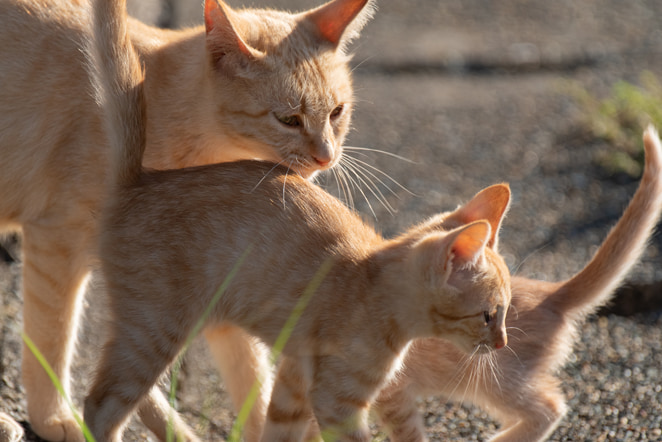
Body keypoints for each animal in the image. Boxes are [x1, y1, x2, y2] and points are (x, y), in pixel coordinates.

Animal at [0, 0, 374, 440]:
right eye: (289, 120)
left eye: (337, 112)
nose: (326, 157)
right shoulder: (58, 242)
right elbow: (53, 338)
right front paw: (56, 417)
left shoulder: (216, 277)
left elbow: (251, 379)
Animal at [84, 0, 512, 438]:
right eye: (489, 314)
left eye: (338, 113)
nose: (502, 343)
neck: (371, 278)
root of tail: (138, 178)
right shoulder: (337, 402)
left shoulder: (295, 382)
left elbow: (278, 428)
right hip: (154, 331)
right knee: (100, 406)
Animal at [374, 126, 662, 440]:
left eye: (493, 314)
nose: (503, 341)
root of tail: (549, 294)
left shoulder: (391, 391)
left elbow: (403, 430)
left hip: (493, 378)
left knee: (550, 407)